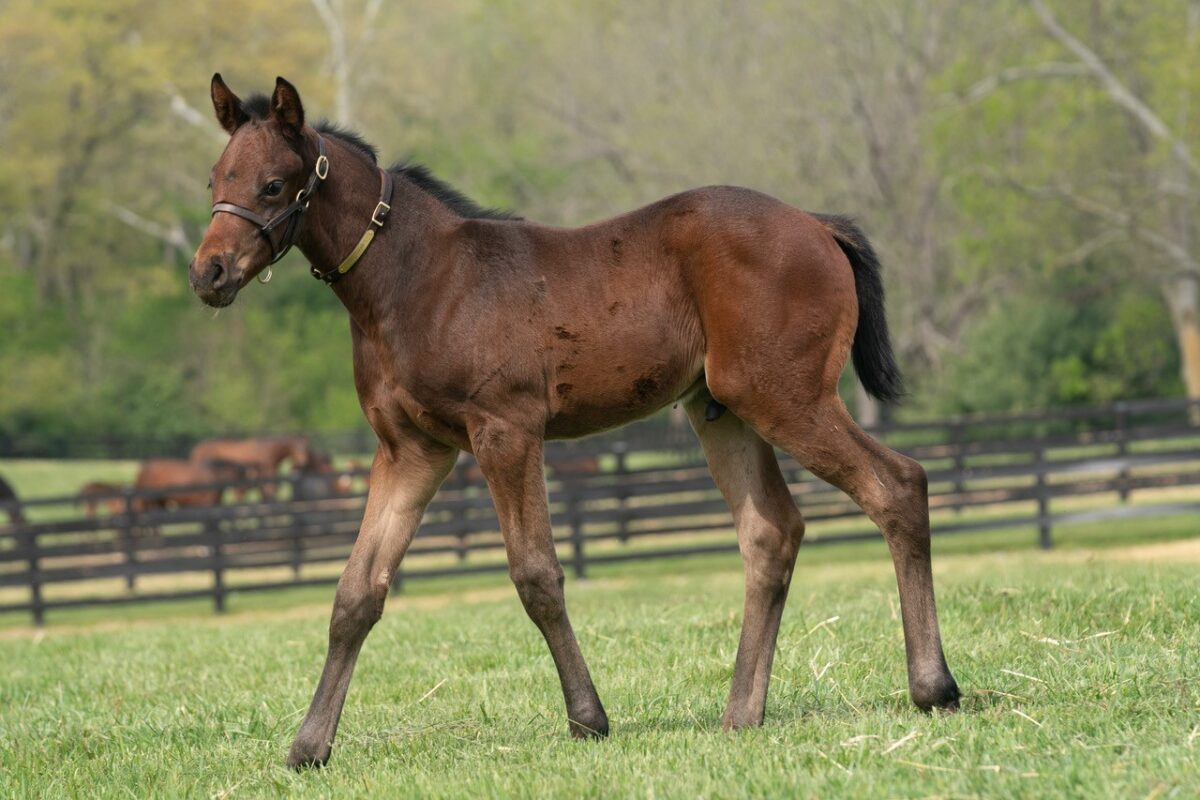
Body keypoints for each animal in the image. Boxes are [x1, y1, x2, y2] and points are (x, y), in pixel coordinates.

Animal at [192, 76, 960, 767]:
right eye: (213, 180)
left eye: (272, 185)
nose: (209, 274)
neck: (417, 279)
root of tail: (817, 224)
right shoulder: (411, 450)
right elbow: (356, 592)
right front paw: (308, 747)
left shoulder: (505, 431)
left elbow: (536, 574)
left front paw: (588, 719)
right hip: (721, 410)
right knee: (771, 533)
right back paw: (742, 714)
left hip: (786, 396)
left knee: (897, 485)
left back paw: (934, 688)